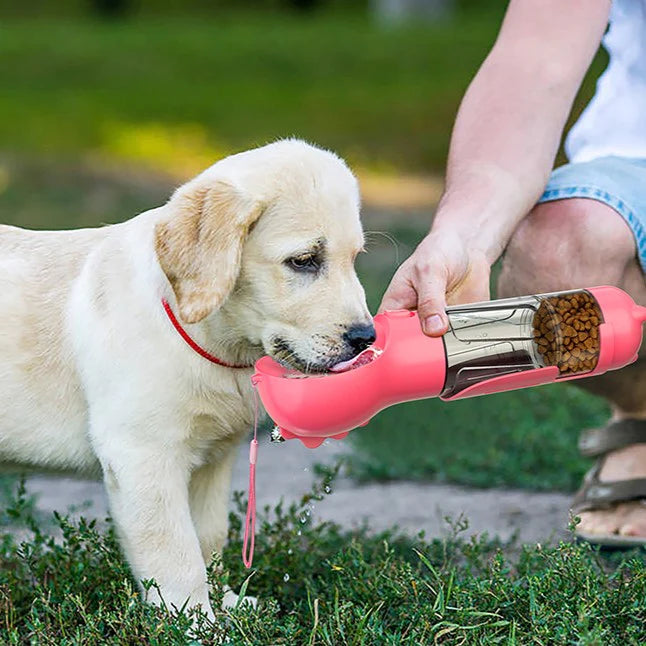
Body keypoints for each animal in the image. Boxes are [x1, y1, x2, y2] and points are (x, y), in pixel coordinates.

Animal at [0, 140, 374, 616]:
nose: (366, 338)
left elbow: (209, 537)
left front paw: (227, 604)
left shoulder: (213, 459)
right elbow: (176, 554)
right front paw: (192, 621)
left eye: (354, 259)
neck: (213, 342)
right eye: (304, 261)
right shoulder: (142, 456)